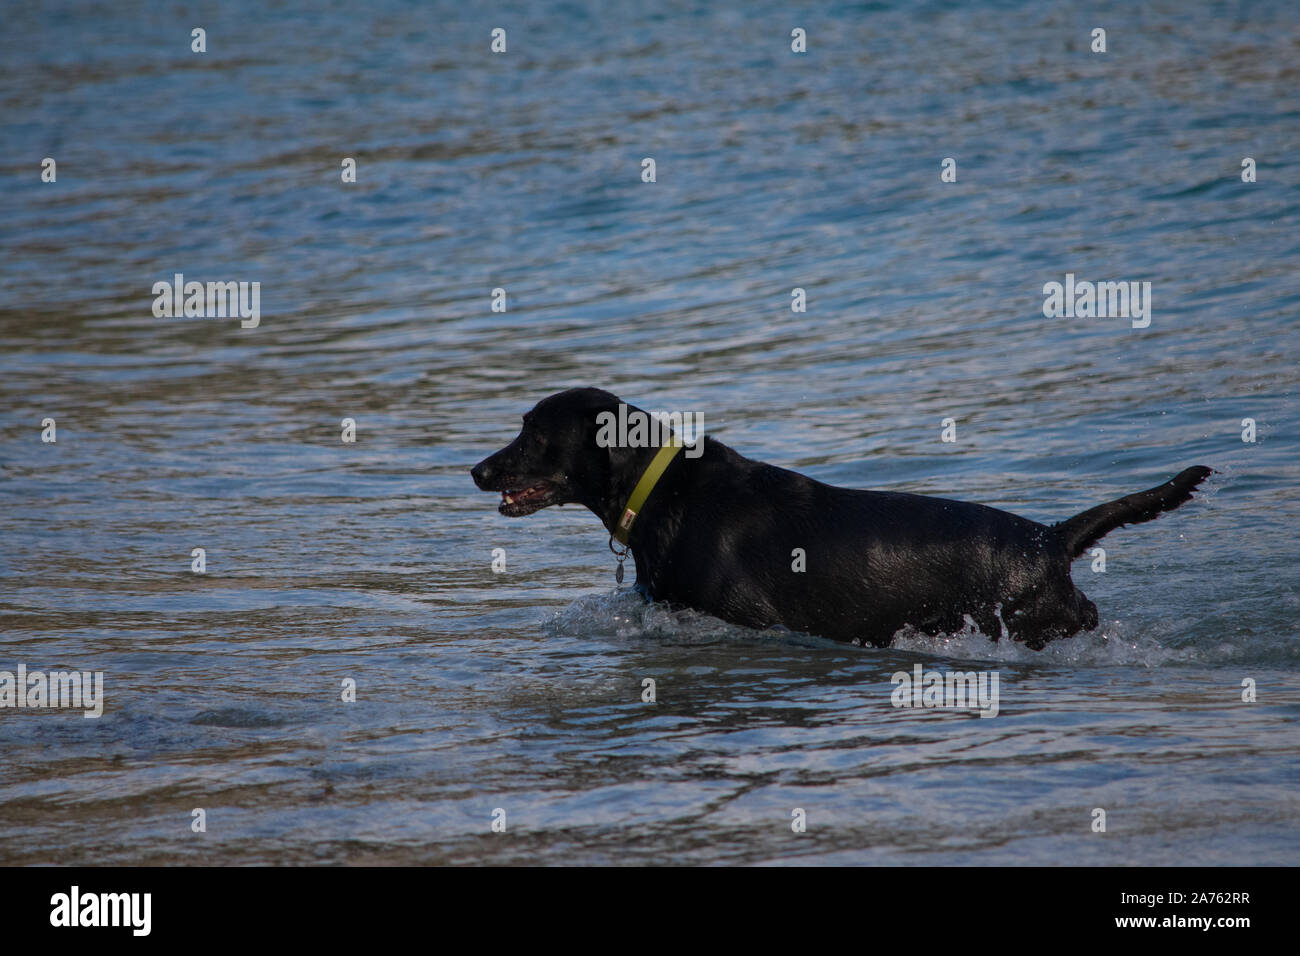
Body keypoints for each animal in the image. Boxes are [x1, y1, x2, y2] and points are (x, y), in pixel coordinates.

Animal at [473, 390, 1211, 650]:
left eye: (533, 433)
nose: (477, 470)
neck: (658, 490)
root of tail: (1050, 538)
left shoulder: (747, 616)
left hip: (1036, 616)